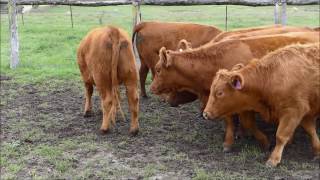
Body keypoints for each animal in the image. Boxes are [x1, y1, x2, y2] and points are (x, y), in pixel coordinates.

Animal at [151, 31, 320, 151]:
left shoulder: (242, 103)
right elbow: (231, 121)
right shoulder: (224, 103)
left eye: (158, 69)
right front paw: (230, 141)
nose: (152, 88)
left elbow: (247, 122)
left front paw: (263, 141)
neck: (216, 60)